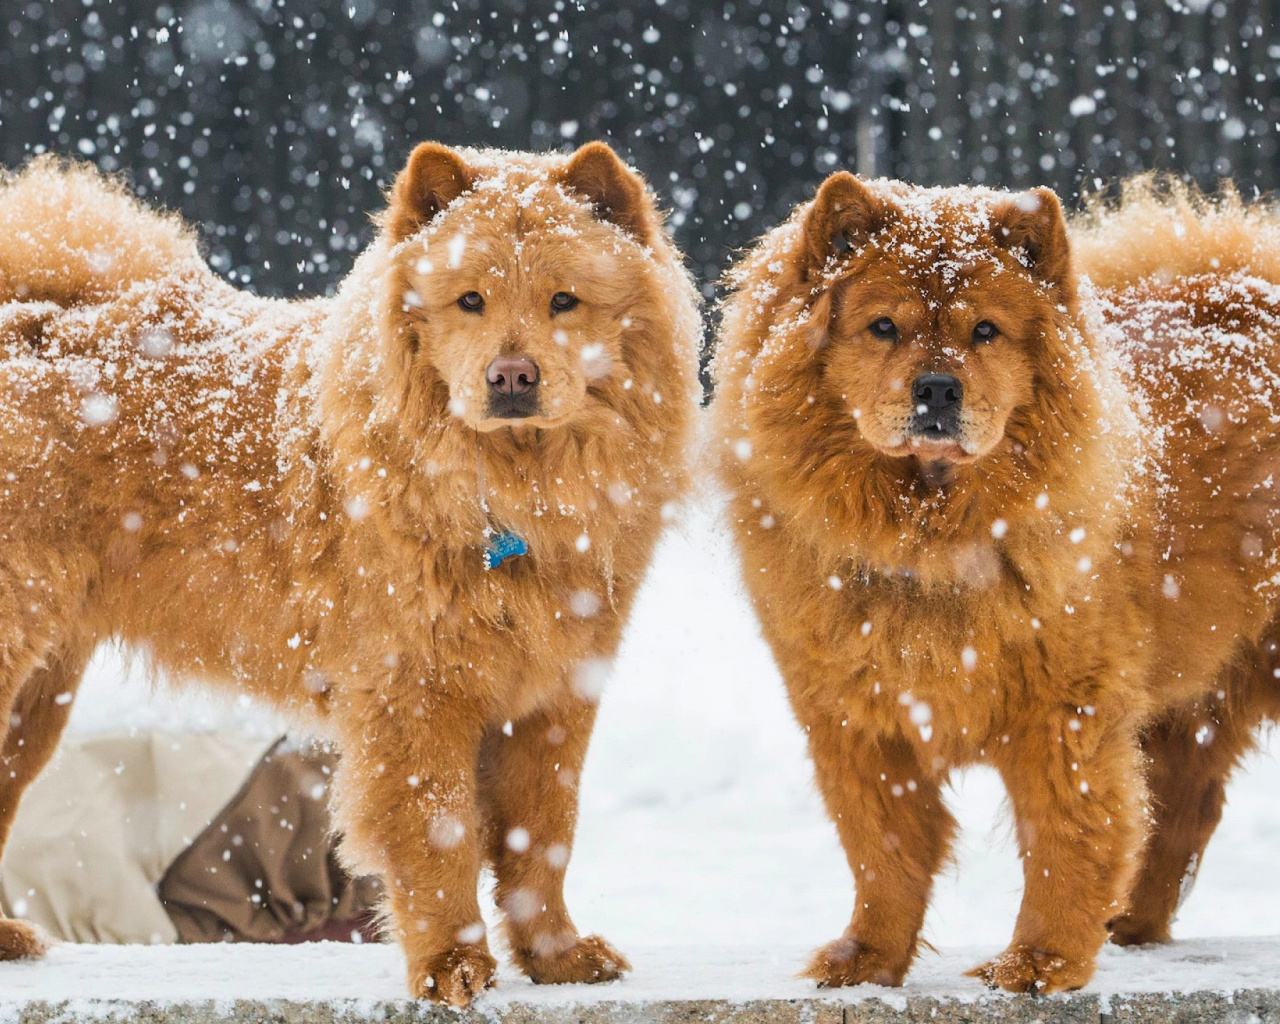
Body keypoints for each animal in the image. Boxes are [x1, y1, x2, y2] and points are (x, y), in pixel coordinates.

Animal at [0, 140, 701, 1003]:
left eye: (563, 301)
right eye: (470, 300)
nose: (511, 375)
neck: (513, 491)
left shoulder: (555, 694)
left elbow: (542, 838)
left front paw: (558, 957)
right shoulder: (415, 691)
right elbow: (440, 835)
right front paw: (451, 968)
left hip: (42, 696)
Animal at [716, 174, 1280, 993]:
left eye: (986, 331)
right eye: (882, 327)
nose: (937, 388)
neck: (930, 536)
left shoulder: (1064, 712)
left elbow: (1066, 839)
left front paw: (1038, 963)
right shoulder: (854, 717)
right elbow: (882, 847)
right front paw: (866, 959)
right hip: (1194, 699)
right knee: (1182, 810)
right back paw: (1130, 926)